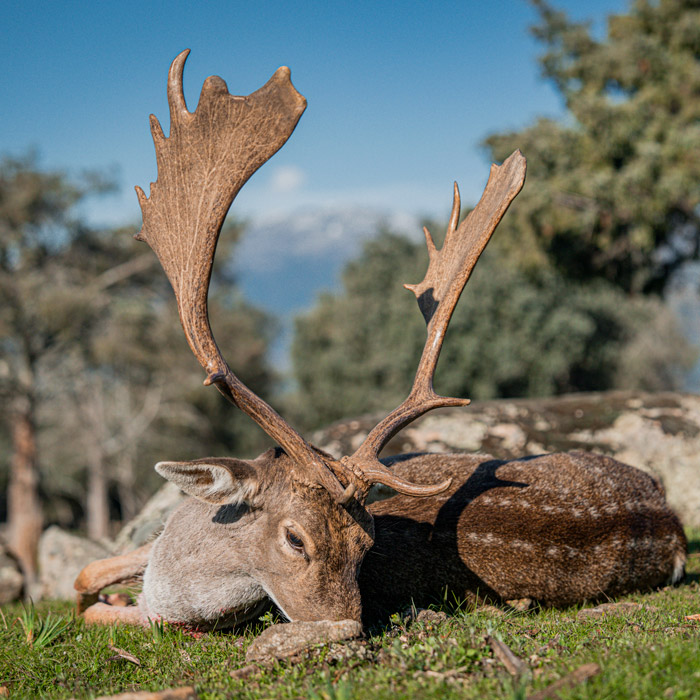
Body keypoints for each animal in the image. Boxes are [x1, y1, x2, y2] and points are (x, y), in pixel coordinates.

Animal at [74, 50, 687, 632]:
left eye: (366, 544)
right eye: (295, 538)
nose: (348, 624)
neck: (169, 587)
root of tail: (673, 525)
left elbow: (90, 597)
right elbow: (86, 574)